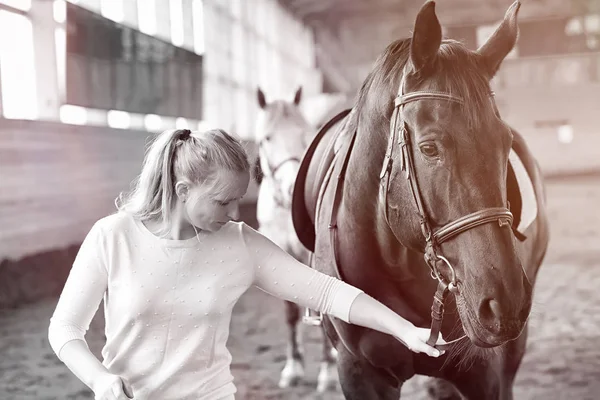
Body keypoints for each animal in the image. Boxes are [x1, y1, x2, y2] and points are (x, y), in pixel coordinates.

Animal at [290, 1, 548, 398]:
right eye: (429, 148)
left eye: (505, 144)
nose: (504, 302)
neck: (395, 261)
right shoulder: (359, 372)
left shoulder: (484, 372)